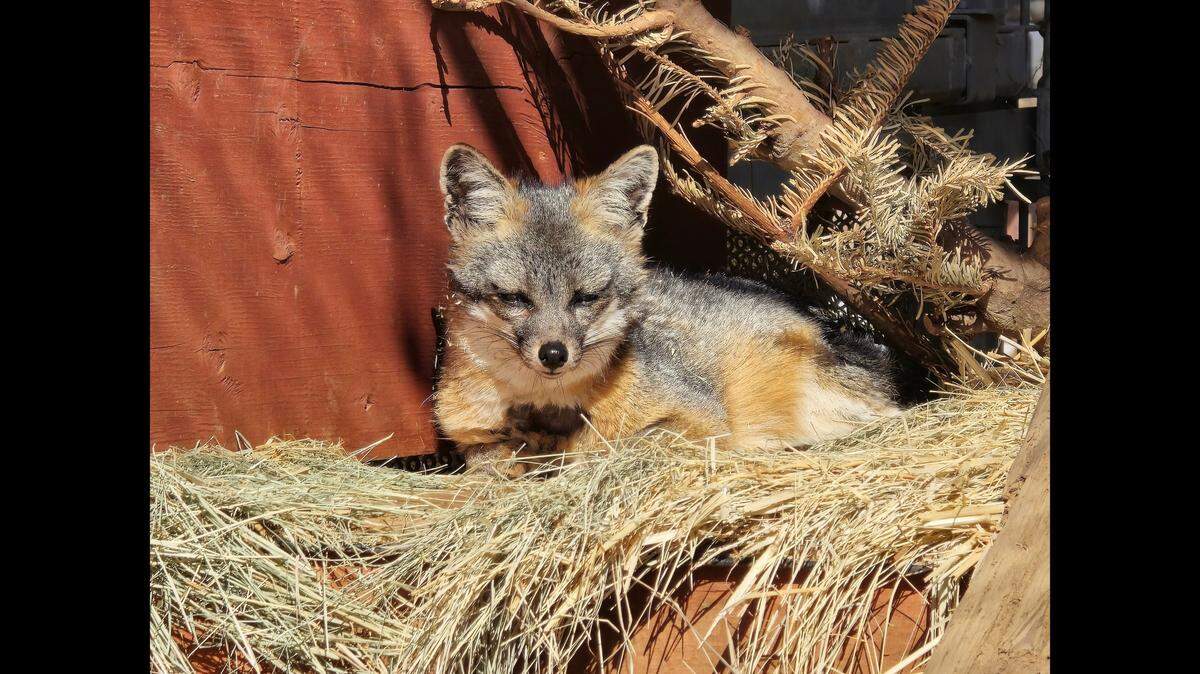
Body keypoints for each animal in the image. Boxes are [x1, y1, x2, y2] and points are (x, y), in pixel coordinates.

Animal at [433, 143, 906, 477]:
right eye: (514, 298)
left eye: (586, 297)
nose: (553, 354)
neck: (548, 406)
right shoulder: (468, 435)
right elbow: (487, 454)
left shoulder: (703, 415)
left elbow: (618, 444)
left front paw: (566, 452)